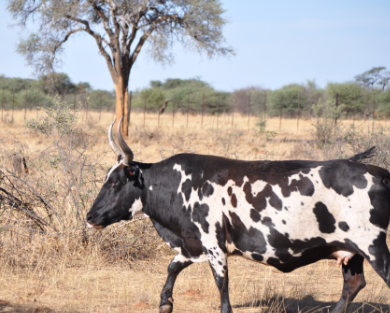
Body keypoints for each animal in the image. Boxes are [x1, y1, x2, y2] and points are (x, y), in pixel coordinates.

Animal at [87, 117, 390, 312]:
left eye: (115, 183)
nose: (90, 217)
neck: (182, 185)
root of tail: (378, 171)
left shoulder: (214, 246)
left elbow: (222, 287)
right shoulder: (192, 245)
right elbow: (173, 266)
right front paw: (165, 302)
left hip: (373, 246)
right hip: (351, 251)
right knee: (352, 285)